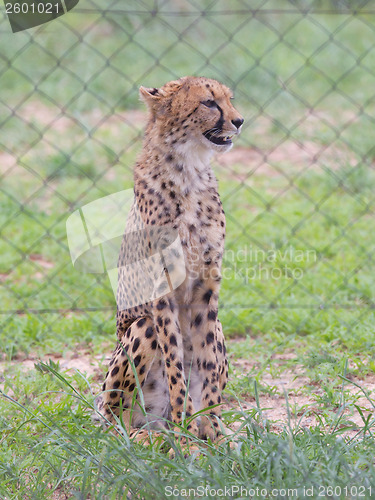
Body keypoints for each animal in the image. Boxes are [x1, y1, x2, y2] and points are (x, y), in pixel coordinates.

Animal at [97, 74, 244, 442]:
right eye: (209, 103)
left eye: (230, 99)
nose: (239, 120)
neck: (189, 170)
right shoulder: (162, 291)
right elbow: (177, 367)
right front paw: (186, 437)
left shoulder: (207, 285)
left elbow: (205, 367)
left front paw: (214, 432)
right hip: (140, 329)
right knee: (113, 419)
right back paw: (146, 436)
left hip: (220, 327)